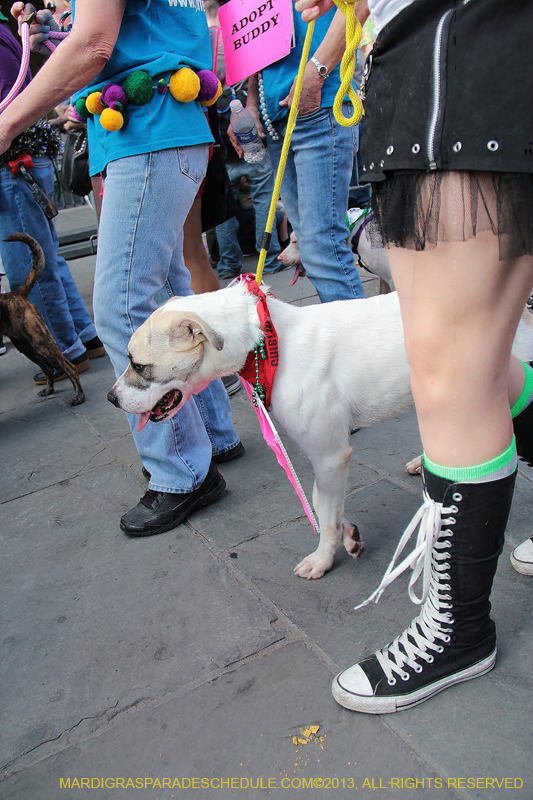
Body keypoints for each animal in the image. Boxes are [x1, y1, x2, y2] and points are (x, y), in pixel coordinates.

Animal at [0, 233, 85, 406]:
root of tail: (16, 294)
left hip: (41, 341)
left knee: (69, 367)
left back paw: (78, 396)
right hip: (25, 345)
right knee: (48, 368)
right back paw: (49, 390)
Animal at [108, 284, 532, 580]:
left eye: (139, 365)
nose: (111, 398)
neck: (267, 339)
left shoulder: (330, 455)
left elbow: (324, 513)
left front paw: (324, 558)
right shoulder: (325, 460)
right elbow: (322, 501)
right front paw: (348, 535)